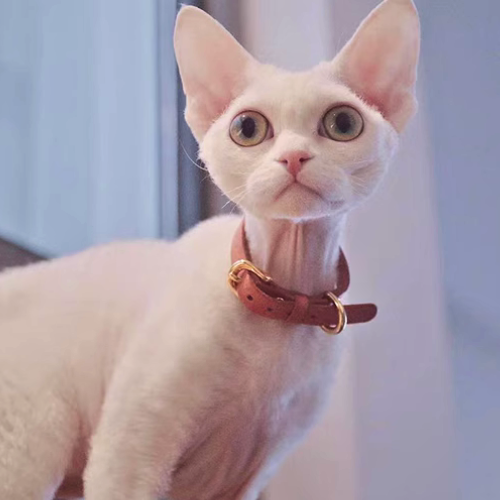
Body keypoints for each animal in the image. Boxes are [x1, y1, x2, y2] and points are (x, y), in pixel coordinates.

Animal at [0, 1, 422, 498]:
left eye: (343, 123)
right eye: (248, 128)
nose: (293, 157)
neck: (283, 305)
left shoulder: (247, 476)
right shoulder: (130, 451)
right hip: (34, 440)